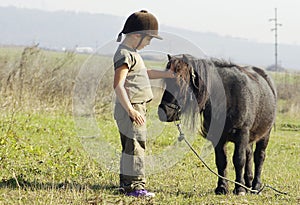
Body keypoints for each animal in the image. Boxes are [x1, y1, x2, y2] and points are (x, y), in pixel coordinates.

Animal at [158, 53, 278, 195]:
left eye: (180, 81)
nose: (164, 111)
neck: (227, 97)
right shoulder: (219, 137)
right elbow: (221, 161)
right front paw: (222, 187)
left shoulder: (242, 133)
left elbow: (239, 160)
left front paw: (239, 188)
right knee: (249, 155)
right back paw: (248, 184)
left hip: (264, 135)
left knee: (259, 157)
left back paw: (255, 186)